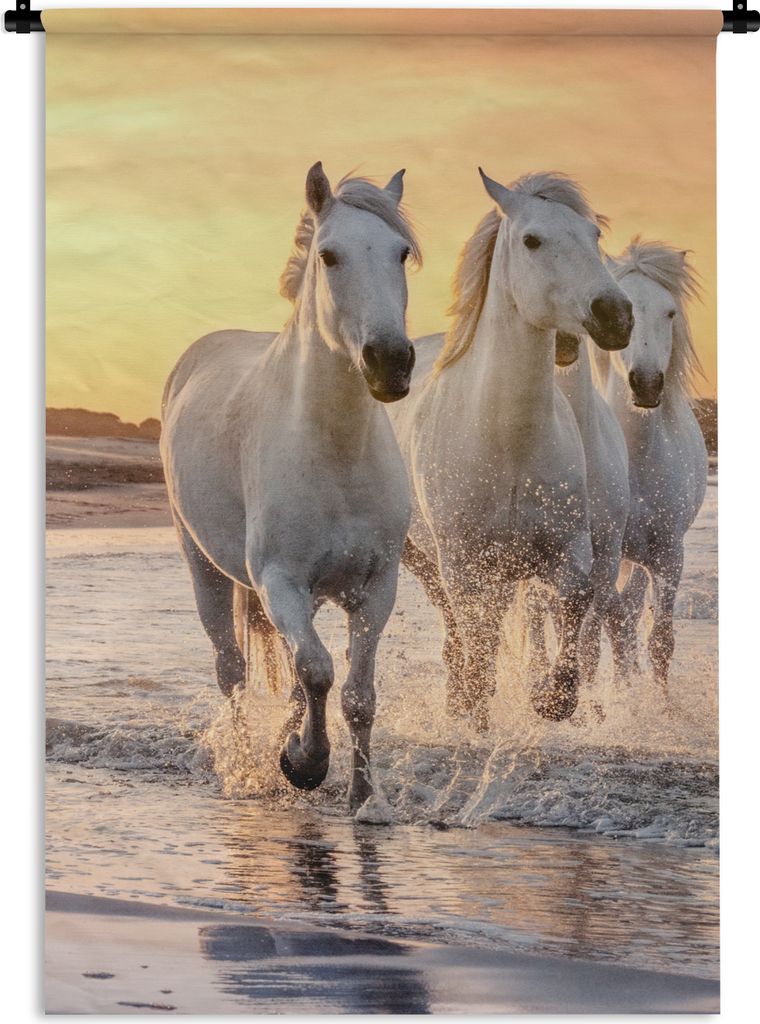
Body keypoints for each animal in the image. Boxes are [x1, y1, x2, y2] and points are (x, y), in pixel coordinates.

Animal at [160, 163, 421, 813]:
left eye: (401, 253)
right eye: (329, 255)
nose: (390, 361)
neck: (335, 454)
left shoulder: (376, 587)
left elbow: (355, 693)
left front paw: (362, 796)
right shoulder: (279, 580)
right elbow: (319, 671)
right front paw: (305, 763)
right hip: (203, 566)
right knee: (232, 670)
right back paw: (249, 763)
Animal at [389, 170, 633, 731]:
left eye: (594, 236)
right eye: (532, 240)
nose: (615, 314)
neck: (509, 442)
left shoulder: (569, 550)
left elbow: (575, 605)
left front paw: (552, 698)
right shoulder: (462, 563)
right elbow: (477, 641)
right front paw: (476, 710)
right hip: (424, 558)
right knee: (458, 631)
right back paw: (459, 701)